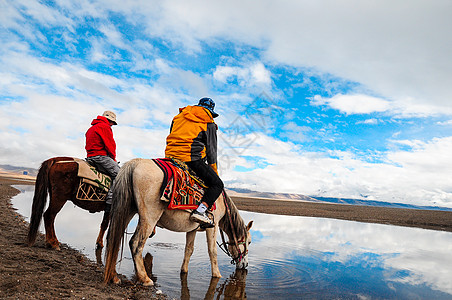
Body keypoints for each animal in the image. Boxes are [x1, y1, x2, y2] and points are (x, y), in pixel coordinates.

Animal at [104, 158, 252, 284]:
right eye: (249, 242)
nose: (245, 265)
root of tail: (135, 163)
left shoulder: (192, 229)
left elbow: (189, 250)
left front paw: (184, 271)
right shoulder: (213, 226)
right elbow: (212, 251)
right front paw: (217, 275)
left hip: (127, 210)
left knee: (114, 238)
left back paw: (114, 277)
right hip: (149, 217)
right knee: (135, 243)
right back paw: (145, 279)